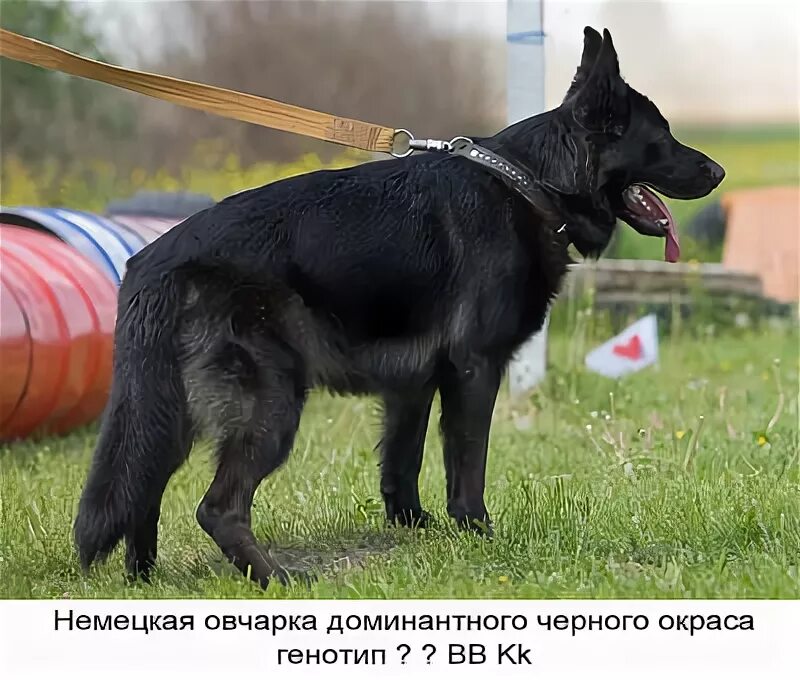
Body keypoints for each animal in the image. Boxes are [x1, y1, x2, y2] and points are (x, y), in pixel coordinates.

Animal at [75, 29, 724, 588]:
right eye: (662, 135)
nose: (718, 171)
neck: (530, 183)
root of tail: (151, 262)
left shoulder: (411, 384)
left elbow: (401, 464)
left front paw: (415, 531)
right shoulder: (474, 370)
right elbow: (467, 465)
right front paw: (477, 534)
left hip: (169, 414)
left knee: (144, 491)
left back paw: (145, 580)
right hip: (270, 405)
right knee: (215, 508)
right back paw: (275, 579)